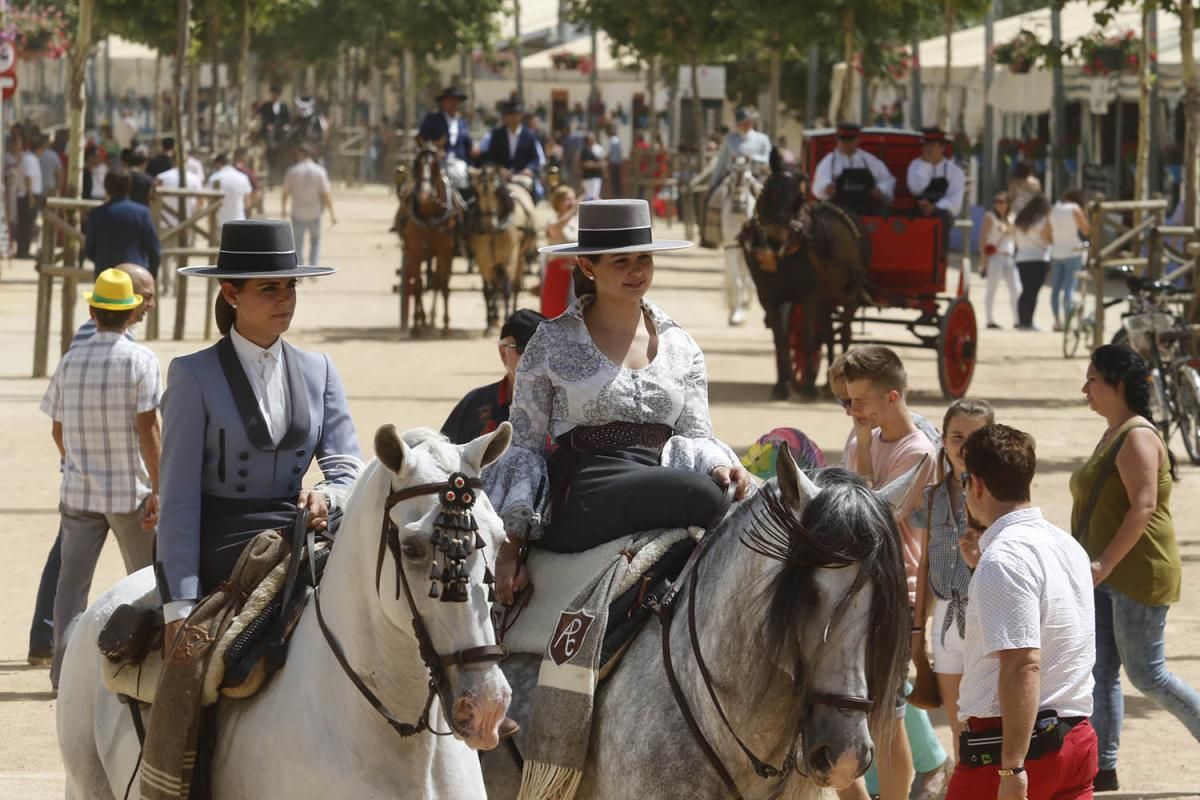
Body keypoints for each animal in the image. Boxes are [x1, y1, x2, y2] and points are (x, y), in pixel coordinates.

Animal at [400, 143, 460, 331]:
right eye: (417, 164)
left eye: (435, 165)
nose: (424, 195)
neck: (428, 214)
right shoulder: (415, 251)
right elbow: (418, 285)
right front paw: (418, 322)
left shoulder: (445, 250)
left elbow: (443, 283)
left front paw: (445, 323)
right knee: (417, 280)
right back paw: (423, 320)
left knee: (438, 280)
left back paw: (433, 320)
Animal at [468, 165, 535, 331]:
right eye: (476, 192)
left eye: (495, 191)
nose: (488, 226)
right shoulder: (484, 260)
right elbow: (488, 290)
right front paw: (490, 321)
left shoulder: (510, 258)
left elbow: (506, 289)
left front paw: (507, 318)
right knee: (496, 286)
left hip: (520, 257)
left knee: (514, 286)